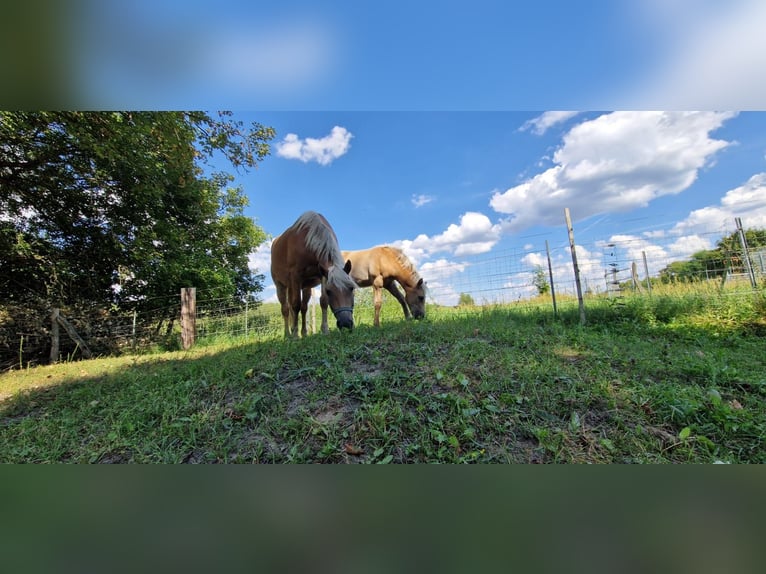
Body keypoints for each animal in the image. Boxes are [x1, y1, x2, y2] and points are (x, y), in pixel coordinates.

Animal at [270, 210, 356, 338]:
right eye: (330, 291)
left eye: (351, 288)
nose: (345, 322)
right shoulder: (295, 277)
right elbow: (295, 304)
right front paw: (295, 335)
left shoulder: (323, 275)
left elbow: (323, 302)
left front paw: (325, 330)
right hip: (281, 286)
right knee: (285, 308)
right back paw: (288, 334)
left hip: (305, 287)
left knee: (303, 308)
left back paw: (304, 333)